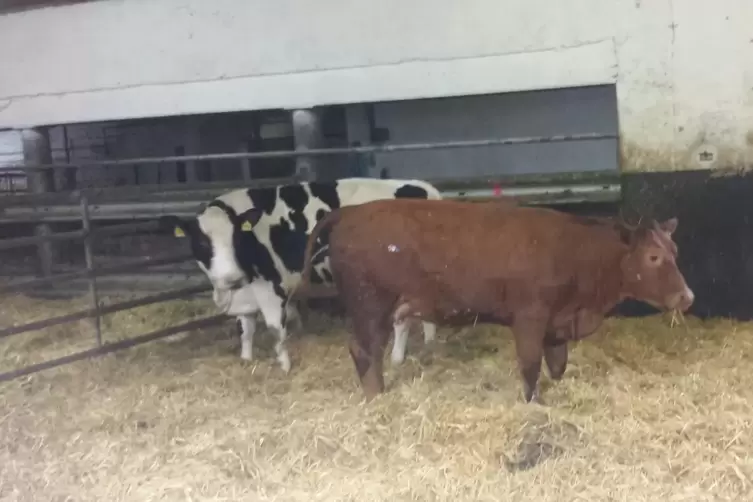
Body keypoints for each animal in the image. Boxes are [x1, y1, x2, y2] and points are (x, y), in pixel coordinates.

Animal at [159, 178, 441, 373]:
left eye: (236, 238)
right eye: (202, 243)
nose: (232, 278)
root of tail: (423, 188)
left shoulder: (270, 287)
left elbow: (275, 329)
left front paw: (284, 366)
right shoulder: (245, 296)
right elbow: (245, 329)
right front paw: (246, 359)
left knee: (402, 320)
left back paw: (397, 358)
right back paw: (429, 342)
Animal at [299, 198, 694, 403]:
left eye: (675, 251)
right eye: (653, 257)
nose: (687, 296)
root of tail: (352, 211)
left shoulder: (558, 322)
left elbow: (558, 364)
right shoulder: (530, 317)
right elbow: (530, 365)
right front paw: (533, 404)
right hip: (370, 306)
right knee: (364, 351)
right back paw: (375, 395)